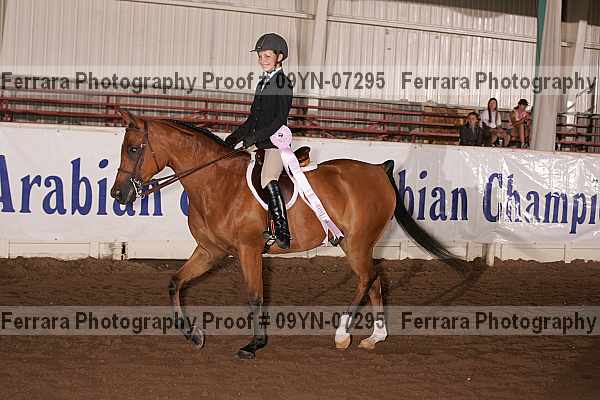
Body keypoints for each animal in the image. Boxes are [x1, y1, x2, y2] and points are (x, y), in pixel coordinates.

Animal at [110, 111, 464, 359]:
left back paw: (342, 334)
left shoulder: (248, 249)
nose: (117, 195)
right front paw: (193, 335)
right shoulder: (210, 250)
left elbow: (255, 295)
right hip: (359, 244)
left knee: (366, 279)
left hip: (356, 243)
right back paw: (374, 337)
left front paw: (254, 345)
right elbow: (175, 282)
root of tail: (379, 169)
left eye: (134, 149)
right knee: (375, 280)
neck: (216, 183)